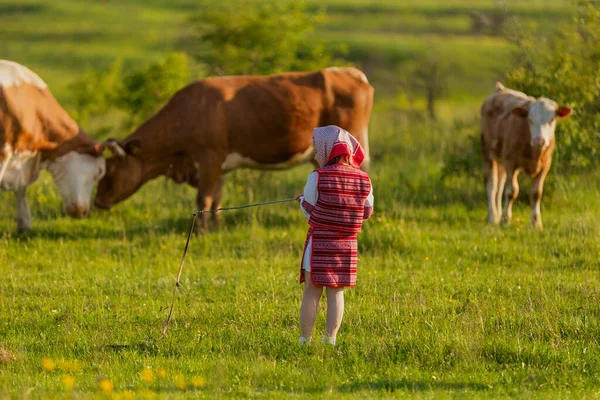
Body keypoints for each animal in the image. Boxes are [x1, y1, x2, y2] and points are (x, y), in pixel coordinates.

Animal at [94, 67, 372, 230]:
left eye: (111, 170)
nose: (97, 202)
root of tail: (349, 72)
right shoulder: (218, 166)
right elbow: (216, 198)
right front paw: (216, 226)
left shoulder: (209, 160)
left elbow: (203, 198)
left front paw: (202, 231)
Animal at [478, 81, 572, 230]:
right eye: (530, 119)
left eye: (552, 120)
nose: (539, 140)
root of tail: (500, 89)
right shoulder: (511, 163)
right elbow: (512, 191)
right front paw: (505, 220)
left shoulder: (545, 165)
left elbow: (536, 193)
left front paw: (536, 223)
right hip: (488, 153)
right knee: (492, 185)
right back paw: (493, 217)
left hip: (502, 160)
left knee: (499, 186)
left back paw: (497, 214)